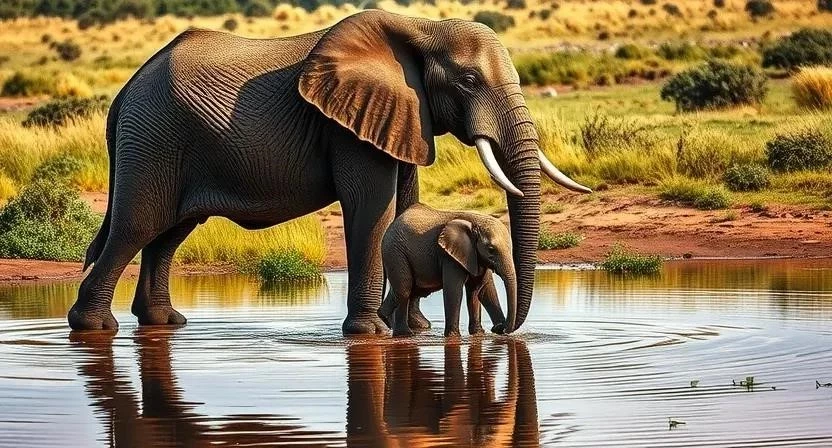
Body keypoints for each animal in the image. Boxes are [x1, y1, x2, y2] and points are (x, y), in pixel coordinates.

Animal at [377, 203, 514, 337]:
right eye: (491, 249)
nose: (500, 327)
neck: (475, 221)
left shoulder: (475, 256)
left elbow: (482, 290)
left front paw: (478, 334)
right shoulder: (449, 256)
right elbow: (454, 290)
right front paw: (453, 336)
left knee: (405, 291)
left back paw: (385, 318)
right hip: (395, 252)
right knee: (404, 290)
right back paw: (405, 334)